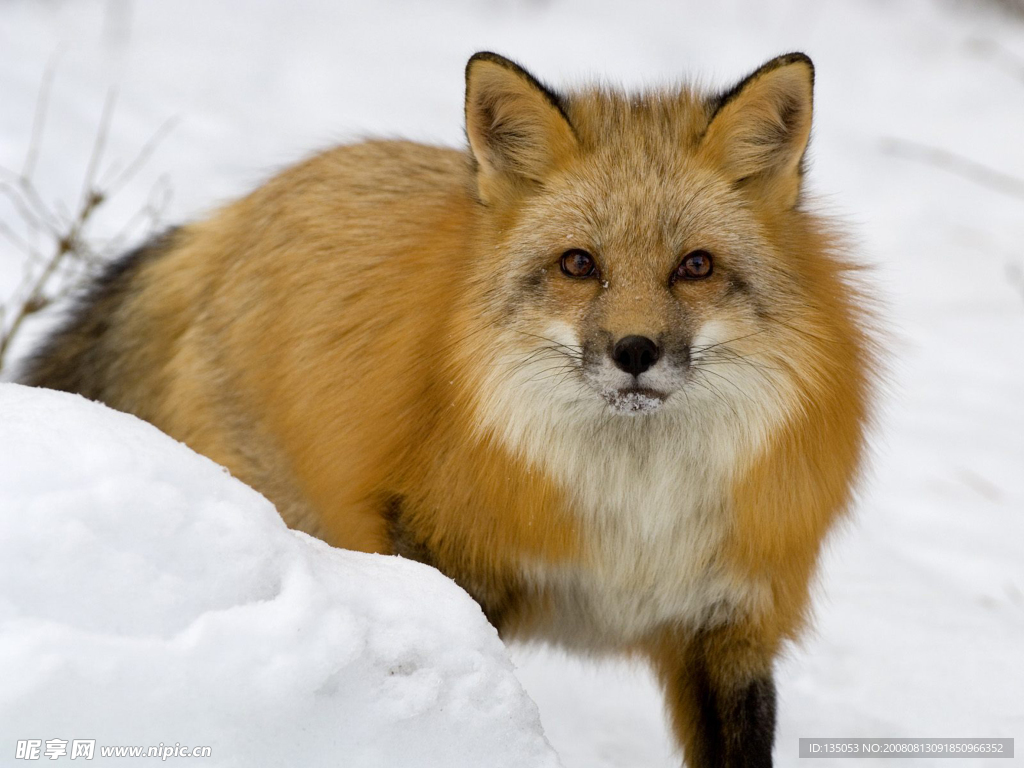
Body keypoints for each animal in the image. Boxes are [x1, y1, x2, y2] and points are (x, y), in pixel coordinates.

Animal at [22, 54, 872, 768]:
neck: (635, 514)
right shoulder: (448, 556)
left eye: (695, 266)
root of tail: (237, 212)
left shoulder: (728, 625)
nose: (635, 350)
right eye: (579, 265)